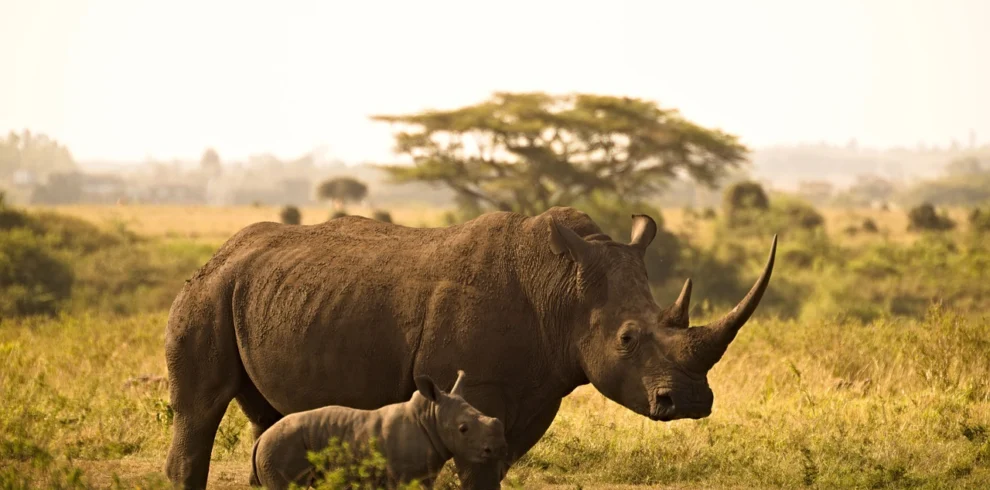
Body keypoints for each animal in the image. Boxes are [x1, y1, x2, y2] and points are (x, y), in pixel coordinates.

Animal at [249, 370, 507, 489]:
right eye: (463, 429)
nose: (498, 449)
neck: (430, 417)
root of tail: (260, 440)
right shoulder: (404, 475)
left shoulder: (424, 475)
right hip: (280, 448)